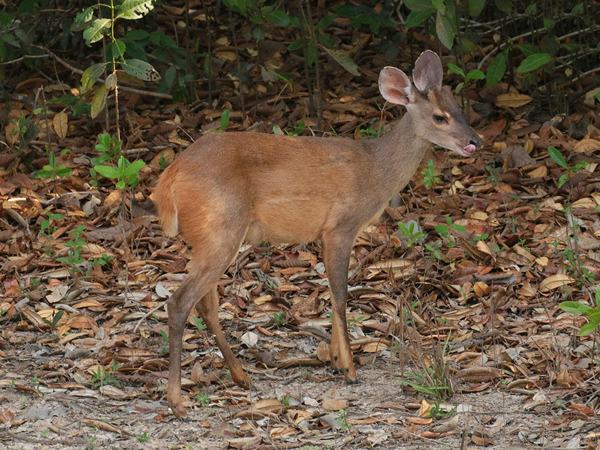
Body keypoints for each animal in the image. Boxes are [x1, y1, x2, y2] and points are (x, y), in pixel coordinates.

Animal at [156, 50, 482, 418]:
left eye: (458, 106)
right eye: (440, 117)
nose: (475, 141)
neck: (376, 170)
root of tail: (170, 178)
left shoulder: (327, 233)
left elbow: (331, 292)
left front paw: (338, 360)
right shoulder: (341, 225)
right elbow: (340, 295)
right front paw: (349, 369)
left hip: (209, 237)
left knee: (205, 304)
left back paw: (241, 377)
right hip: (222, 227)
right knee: (180, 301)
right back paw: (177, 401)